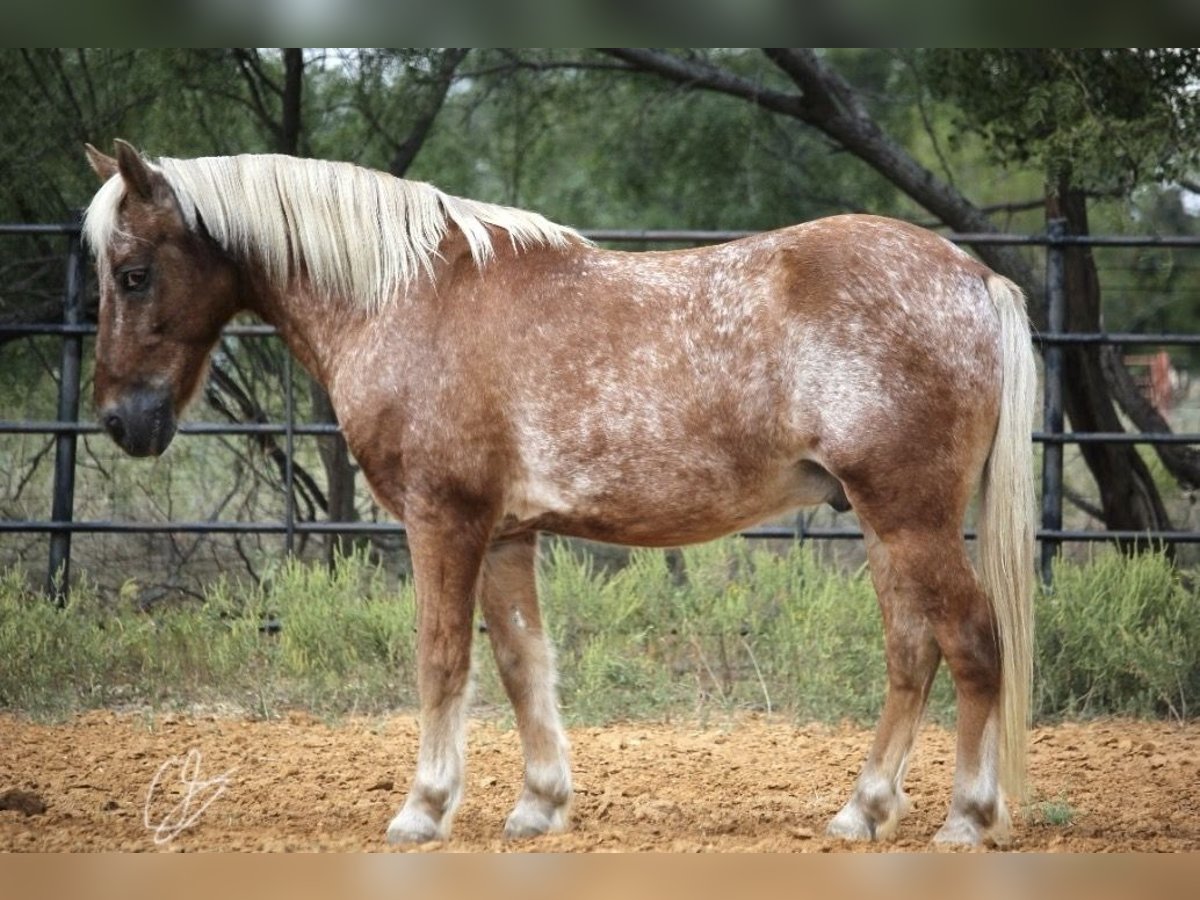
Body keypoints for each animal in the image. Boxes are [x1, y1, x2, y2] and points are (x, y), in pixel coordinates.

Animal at [83, 140, 1036, 847]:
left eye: (132, 273)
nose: (123, 420)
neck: (410, 298)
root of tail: (971, 278)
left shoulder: (444, 520)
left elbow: (442, 659)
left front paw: (423, 809)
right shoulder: (506, 533)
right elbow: (520, 662)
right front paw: (539, 804)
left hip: (909, 518)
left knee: (973, 641)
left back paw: (966, 819)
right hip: (882, 523)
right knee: (912, 654)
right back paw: (862, 812)